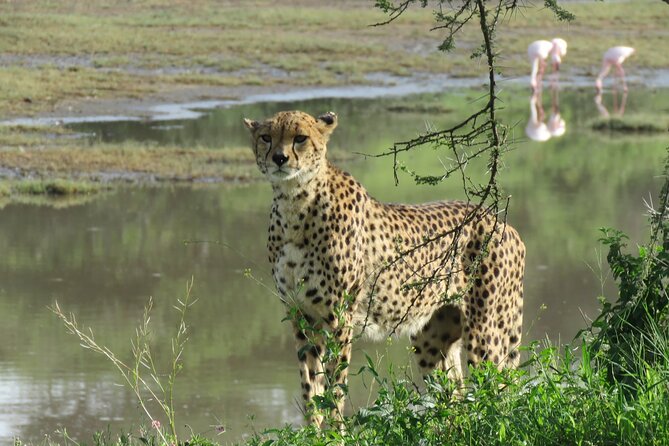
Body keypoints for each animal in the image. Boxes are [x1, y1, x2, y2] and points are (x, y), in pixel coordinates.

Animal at [243, 110, 524, 424]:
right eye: (266, 137)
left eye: (300, 138)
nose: (279, 158)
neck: (294, 203)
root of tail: (501, 221)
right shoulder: (301, 315)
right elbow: (310, 385)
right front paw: (311, 430)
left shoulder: (338, 317)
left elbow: (335, 385)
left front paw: (336, 431)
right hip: (433, 334)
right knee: (454, 395)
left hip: (485, 331)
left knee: (499, 395)